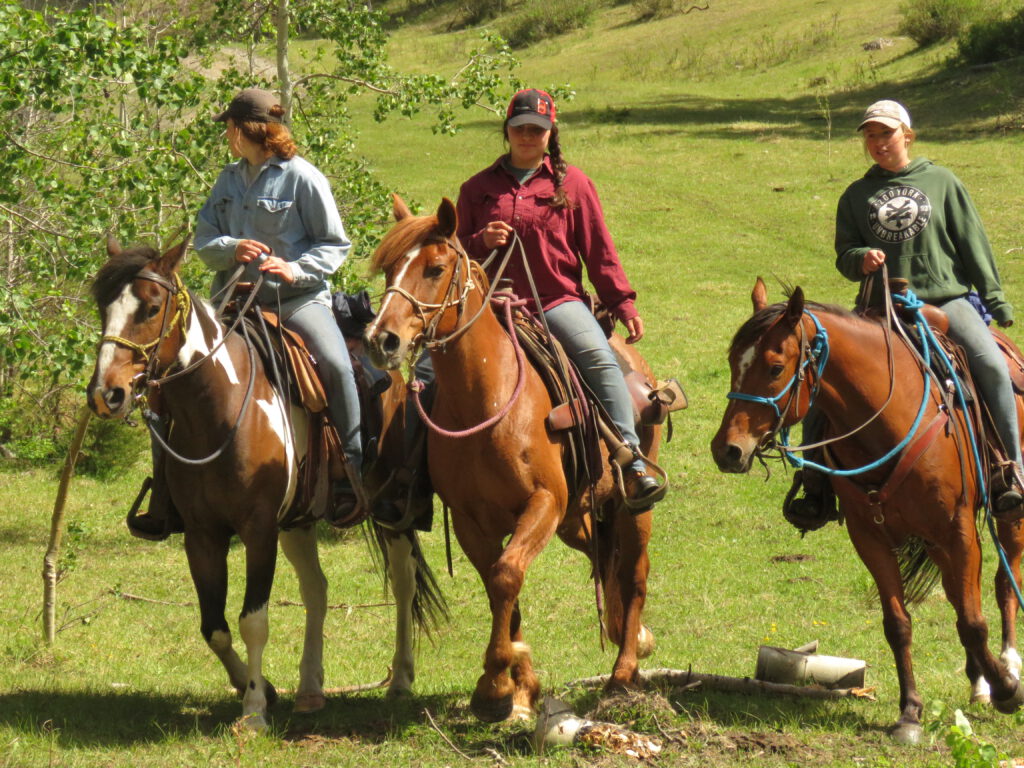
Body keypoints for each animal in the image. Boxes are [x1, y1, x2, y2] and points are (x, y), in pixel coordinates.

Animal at [86, 237, 442, 729]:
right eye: (103, 305)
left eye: (152, 307)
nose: (107, 394)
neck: (219, 408)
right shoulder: (202, 534)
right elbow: (214, 627)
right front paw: (261, 689)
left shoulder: (258, 530)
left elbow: (253, 619)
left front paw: (254, 710)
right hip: (299, 520)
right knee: (316, 590)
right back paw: (310, 688)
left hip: (392, 509)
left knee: (404, 581)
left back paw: (401, 678)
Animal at [364, 195, 659, 724]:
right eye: (391, 269)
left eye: (435, 268)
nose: (383, 339)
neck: (486, 399)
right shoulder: (471, 522)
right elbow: (501, 584)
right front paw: (517, 690)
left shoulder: (543, 503)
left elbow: (506, 576)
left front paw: (493, 685)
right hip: (580, 518)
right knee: (605, 563)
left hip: (631, 508)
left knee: (634, 574)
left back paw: (625, 670)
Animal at [712, 280, 1024, 741]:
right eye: (734, 361)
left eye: (775, 367)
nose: (727, 450)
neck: (888, 420)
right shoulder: (869, 535)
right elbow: (899, 624)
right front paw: (910, 712)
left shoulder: (958, 529)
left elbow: (972, 620)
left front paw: (1007, 689)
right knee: (958, 595)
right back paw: (979, 680)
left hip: (1006, 517)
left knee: (1004, 582)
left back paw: (1008, 663)